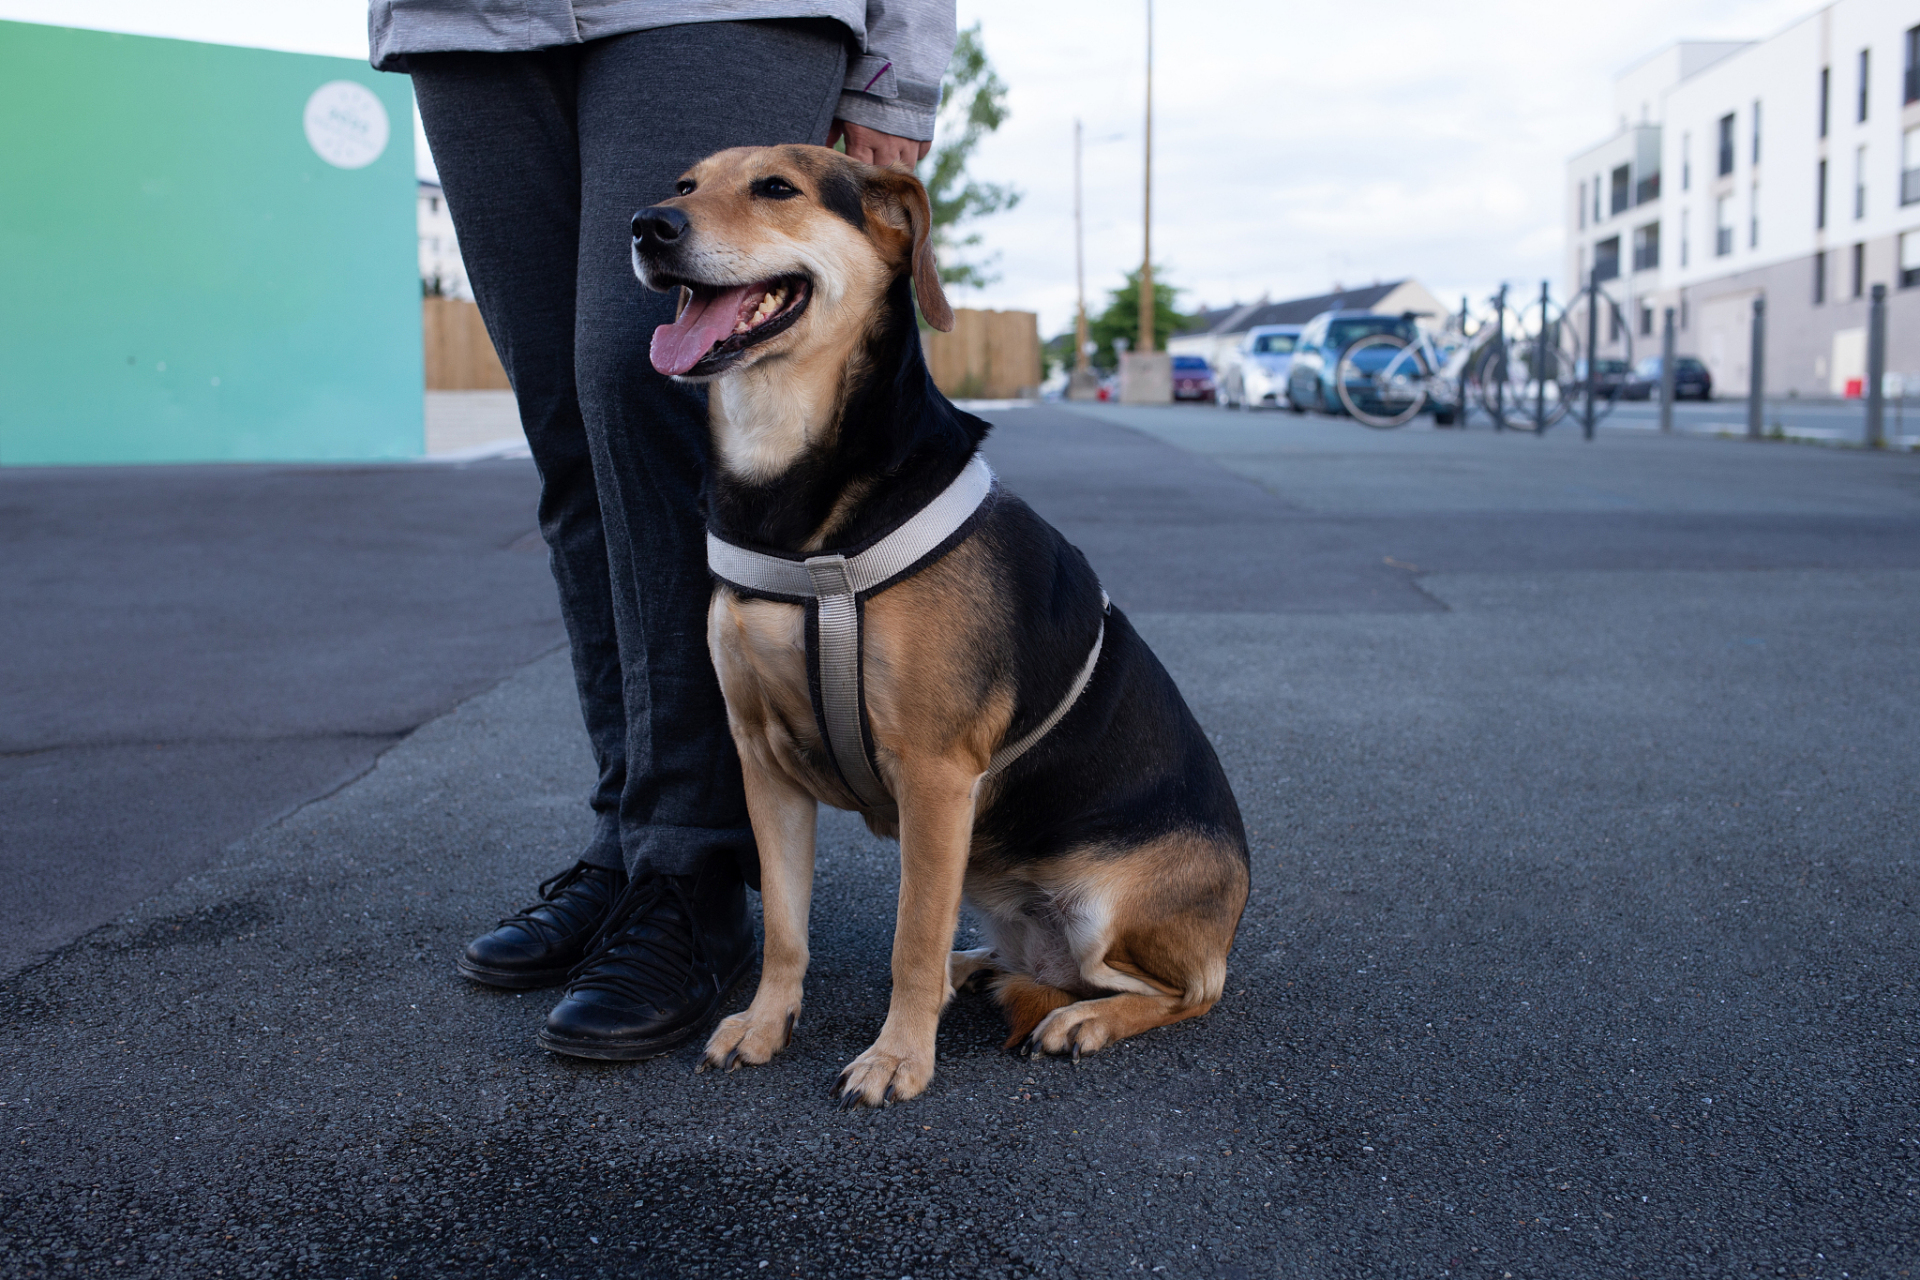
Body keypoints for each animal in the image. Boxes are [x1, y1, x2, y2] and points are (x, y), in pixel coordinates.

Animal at [629, 144, 1251, 1113]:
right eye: (686, 185)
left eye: (777, 189)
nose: (648, 226)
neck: (797, 508)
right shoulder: (763, 760)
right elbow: (786, 928)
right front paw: (767, 1023)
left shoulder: (934, 773)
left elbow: (909, 938)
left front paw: (896, 1058)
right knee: (1035, 962)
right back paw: (984, 968)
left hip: (1103, 905)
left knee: (1181, 991)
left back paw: (1083, 1020)